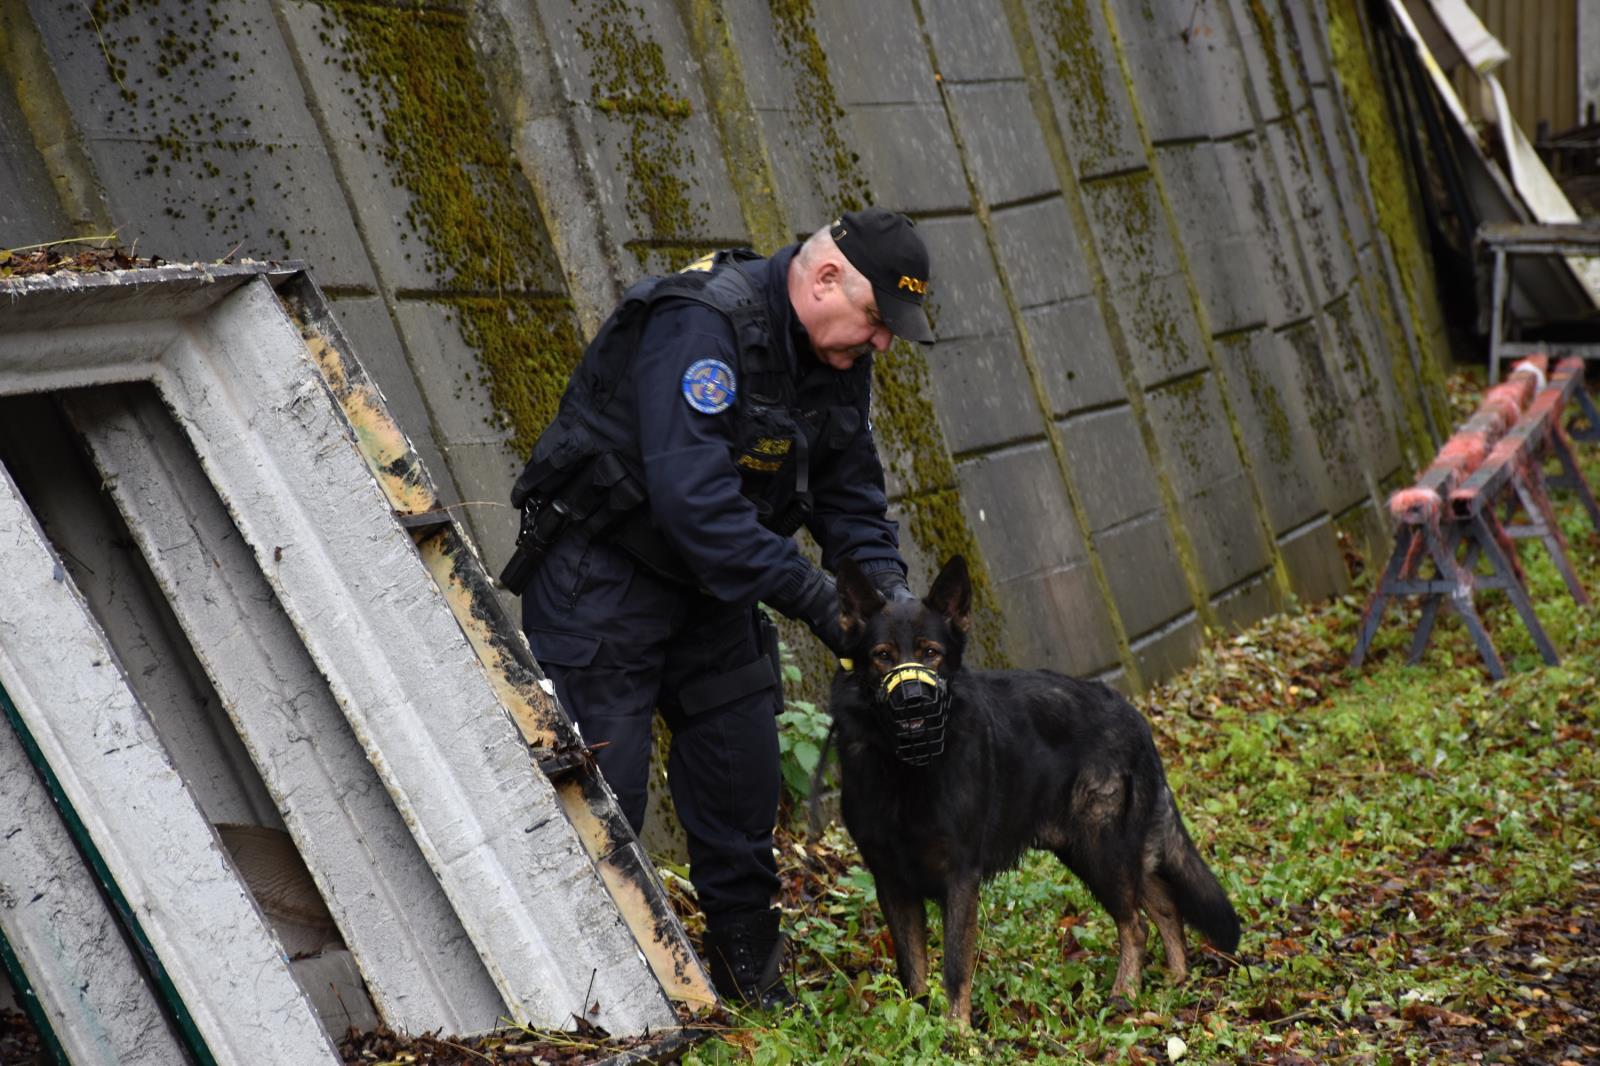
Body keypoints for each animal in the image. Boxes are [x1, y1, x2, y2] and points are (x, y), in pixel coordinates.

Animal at [832, 550, 1241, 1017]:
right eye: (882, 656)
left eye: (930, 654)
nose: (913, 701)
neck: (906, 771)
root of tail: (1130, 712)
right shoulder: (893, 885)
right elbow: (913, 974)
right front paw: (922, 1024)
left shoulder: (960, 879)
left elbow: (955, 969)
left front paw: (957, 1030)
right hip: (1086, 850)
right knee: (1164, 903)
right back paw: (1175, 980)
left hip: (1099, 849)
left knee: (1135, 924)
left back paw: (1126, 994)